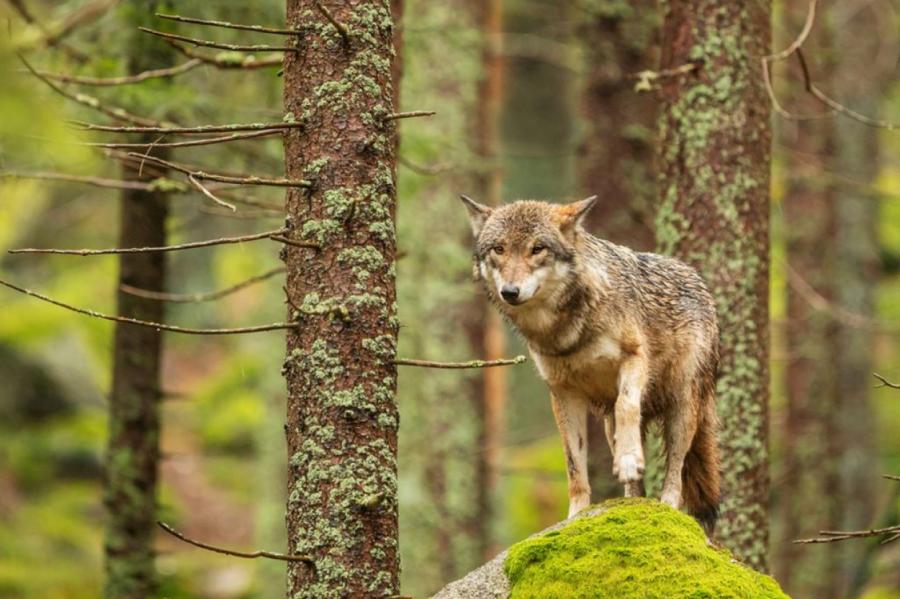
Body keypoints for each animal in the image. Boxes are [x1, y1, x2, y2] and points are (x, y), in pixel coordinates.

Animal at [460, 195, 720, 532]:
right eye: (499, 249)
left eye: (537, 248)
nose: (510, 292)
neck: (566, 330)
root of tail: (697, 279)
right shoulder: (563, 393)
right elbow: (573, 463)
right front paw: (577, 515)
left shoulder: (635, 359)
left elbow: (627, 405)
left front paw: (628, 460)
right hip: (610, 425)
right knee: (636, 480)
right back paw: (631, 503)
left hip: (683, 408)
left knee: (676, 469)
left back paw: (666, 506)